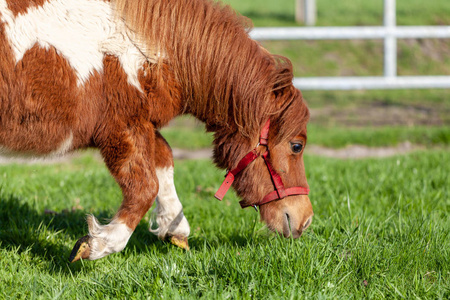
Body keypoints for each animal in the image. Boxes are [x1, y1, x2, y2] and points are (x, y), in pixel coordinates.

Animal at [0, 0, 312, 262]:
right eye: (296, 146)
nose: (306, 219)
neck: (143, 45)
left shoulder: (139, 124)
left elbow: (164, 159)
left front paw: (175, 226)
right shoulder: (120, 129)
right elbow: (145, 187)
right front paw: (100, 243)